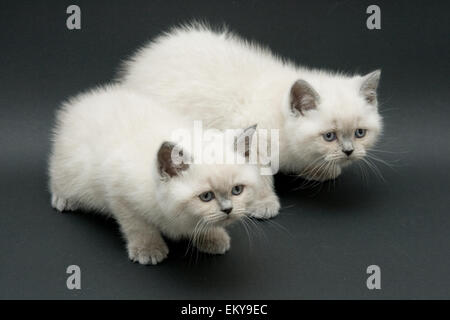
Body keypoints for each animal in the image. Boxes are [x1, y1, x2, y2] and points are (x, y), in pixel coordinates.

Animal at [48, 85, 268, 264]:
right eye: (206, 196)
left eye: (237, 190)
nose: (228, 209)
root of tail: (85, 100)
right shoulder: (119, 193)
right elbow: (138, 225)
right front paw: (148, 249)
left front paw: (213, 237)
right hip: (70, 168)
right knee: (57, 176)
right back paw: (64, 199)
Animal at [119, 22, 384, 182]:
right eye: (329, 136)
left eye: (360, 133)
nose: (349, 151)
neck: (279, 118)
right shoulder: (251, 140)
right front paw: (264, 205)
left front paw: (320, 170)